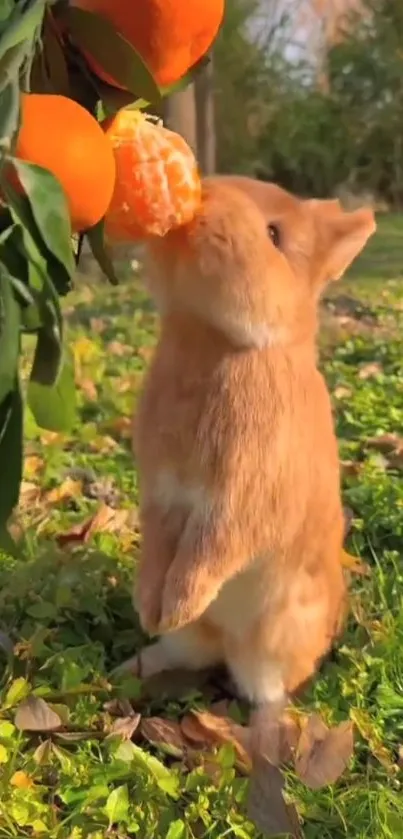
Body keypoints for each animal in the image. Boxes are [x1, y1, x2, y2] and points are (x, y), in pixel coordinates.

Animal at [124, 176, 378, 708]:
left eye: (274, 234)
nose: (200, 203)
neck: (216, 341)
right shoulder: (162, 495)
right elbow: (160, 545)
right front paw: (150, 609)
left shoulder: (241, 498)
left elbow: (210, 548)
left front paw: (176, 605)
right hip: (198, 643)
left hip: (271, 645)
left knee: (266, 689)